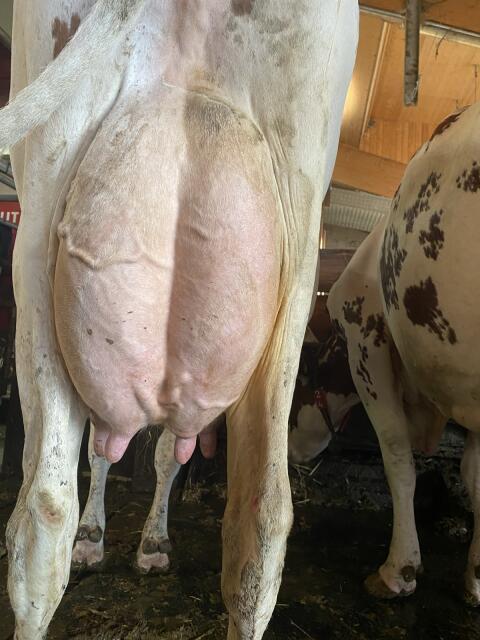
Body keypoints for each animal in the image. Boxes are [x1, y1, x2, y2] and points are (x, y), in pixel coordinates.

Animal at [0, 1, 358, 638]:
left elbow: (150, 452)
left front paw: (143, 543)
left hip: (41, 231)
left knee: (48, 506)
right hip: (295, 235)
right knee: (258, 526)